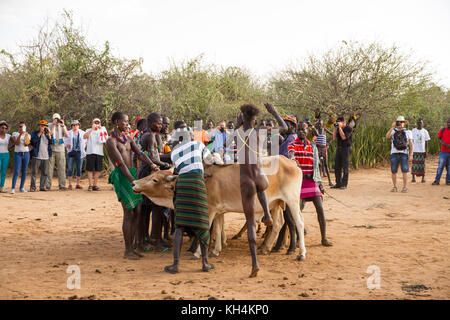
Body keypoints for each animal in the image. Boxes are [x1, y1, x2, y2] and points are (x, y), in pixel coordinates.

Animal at [131, 155, 306, 268]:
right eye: (152, 174)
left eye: (155, 179)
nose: (134, 183)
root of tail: (292, 163)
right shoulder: (219, 210)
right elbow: (218, 229)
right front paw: (216, 250)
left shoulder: (209, 209)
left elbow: (206, 230)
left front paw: (197, 253)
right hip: (275, 204)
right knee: (277, 224)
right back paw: (265, 248)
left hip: (291, 201)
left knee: (298, 223)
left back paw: (301, 253)